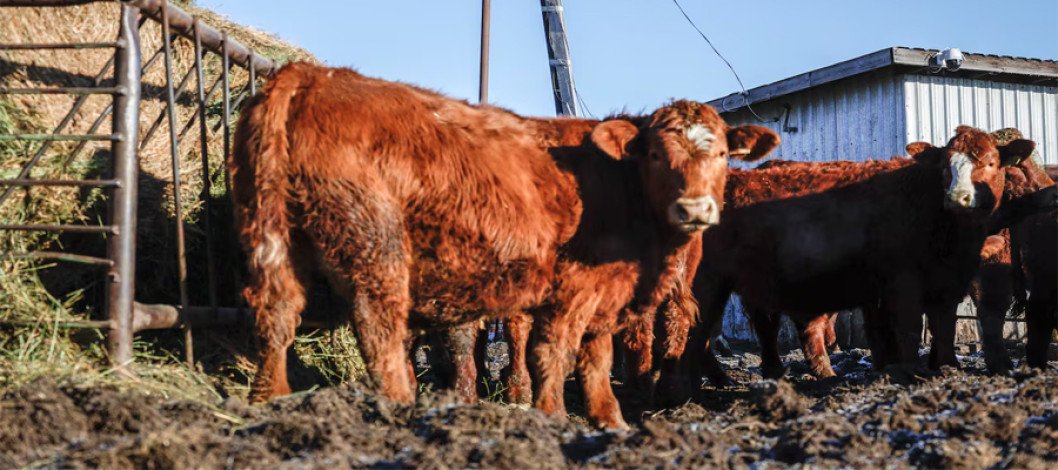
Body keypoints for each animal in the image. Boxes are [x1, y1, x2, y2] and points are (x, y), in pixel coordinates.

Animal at [230, 62, 778, 429]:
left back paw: (268, 402)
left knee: (277, 312)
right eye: (657, 155)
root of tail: (313, 74)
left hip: (275, 238)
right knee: (379, 326)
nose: (695, 209)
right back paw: (400, 407)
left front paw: (611, 422)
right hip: (374, 245)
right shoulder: (572, 289)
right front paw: (551, 417)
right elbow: (552, 354)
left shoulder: (604, 295)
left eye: (724, 154)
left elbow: (597, 361)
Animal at [635, 127, 1035, 398]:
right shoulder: (900, 279)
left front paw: (947, 368)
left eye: (991, 163)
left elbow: (943, 326)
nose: (958, 197)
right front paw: (911, 371)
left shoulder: (946, 282)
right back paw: (684, 390)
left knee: (713, 330)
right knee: (688, 327)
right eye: (944, 167)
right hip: (707, 280)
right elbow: (906, 327)